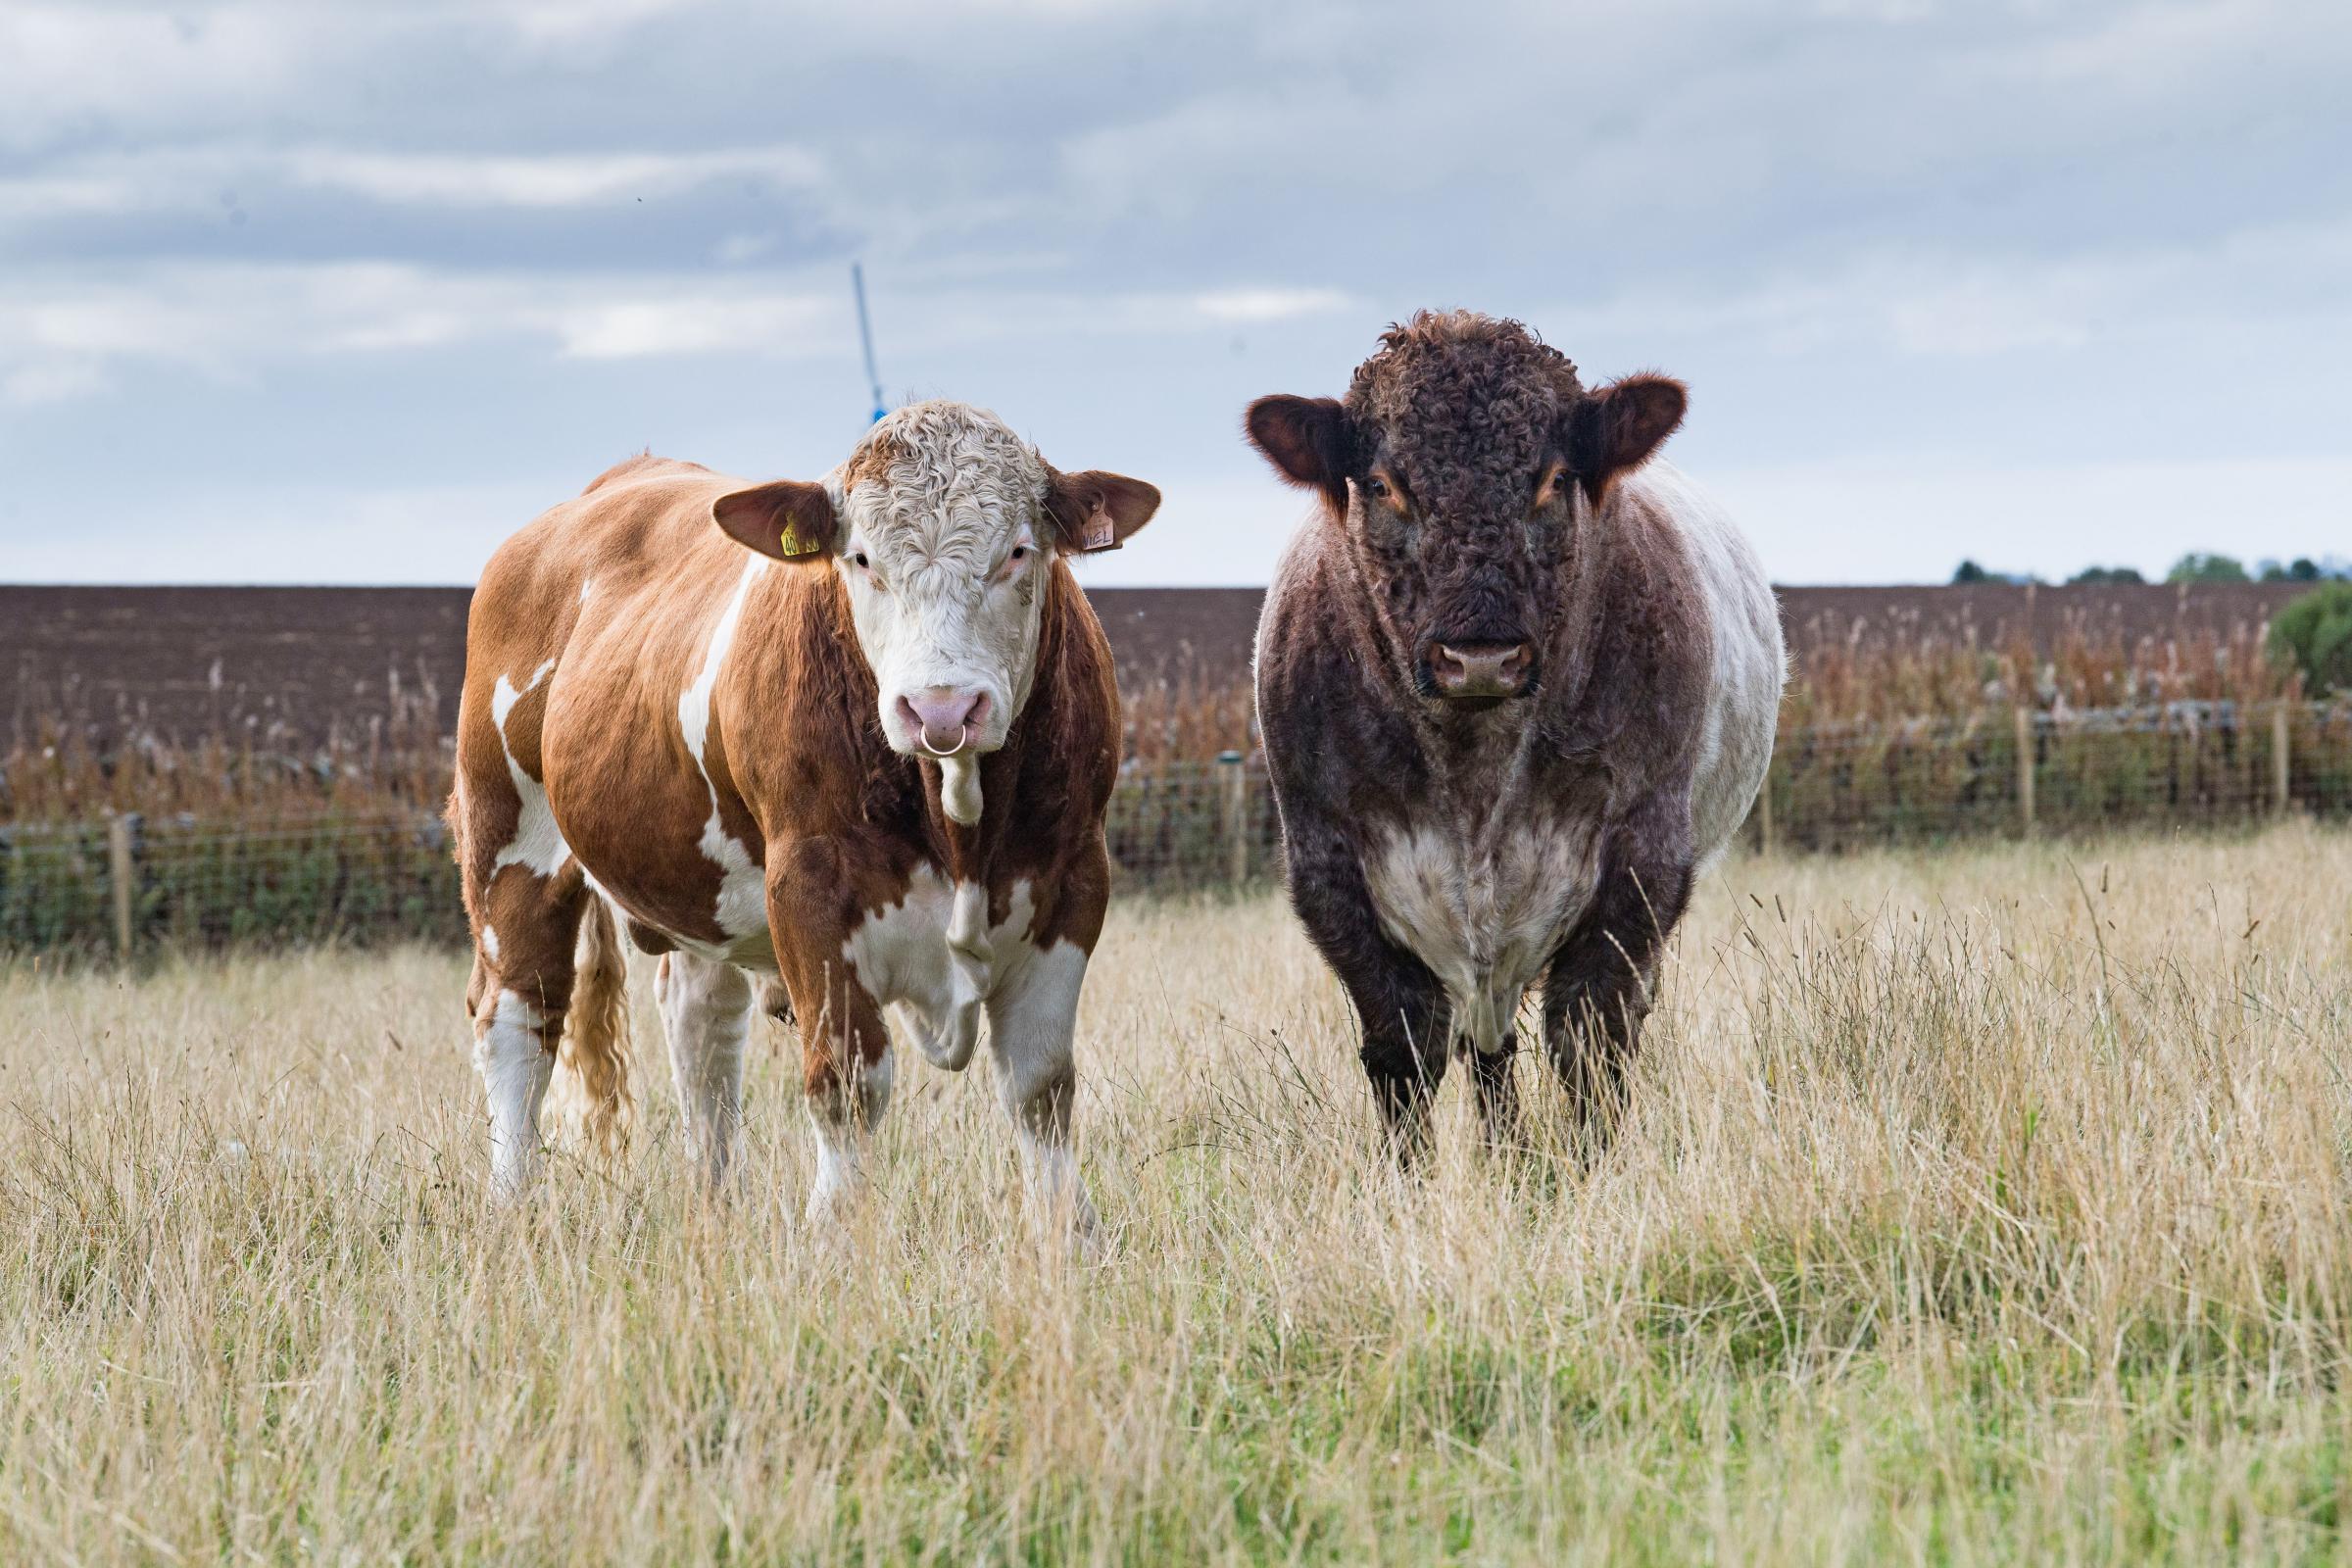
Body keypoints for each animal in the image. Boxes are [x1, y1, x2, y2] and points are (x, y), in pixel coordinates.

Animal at [447, 394, 1156, 1241]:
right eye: (861, 559)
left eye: (1019, 551)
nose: (941, 709)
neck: (955, 814)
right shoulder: (810, 892)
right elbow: (846, 1083)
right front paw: (836, 1233)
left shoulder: (1073, 880)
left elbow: (1040, 1086)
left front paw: (1068, 1234)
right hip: (509, 846)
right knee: (518, 1020)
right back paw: (511, 1202)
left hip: (699, 881)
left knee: (700, 1025)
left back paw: (717, 1197)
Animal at [1250, 313, 1778, 1161]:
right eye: (1384, 484)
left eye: (1554, 478)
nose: (1480, 655)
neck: (1475, 768)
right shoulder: (1327, 866)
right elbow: (1403, 1045)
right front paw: (1414, 1181)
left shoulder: (1645, 858)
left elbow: (1594, 1037)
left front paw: (1593, 1171)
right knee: (1485, 1044)